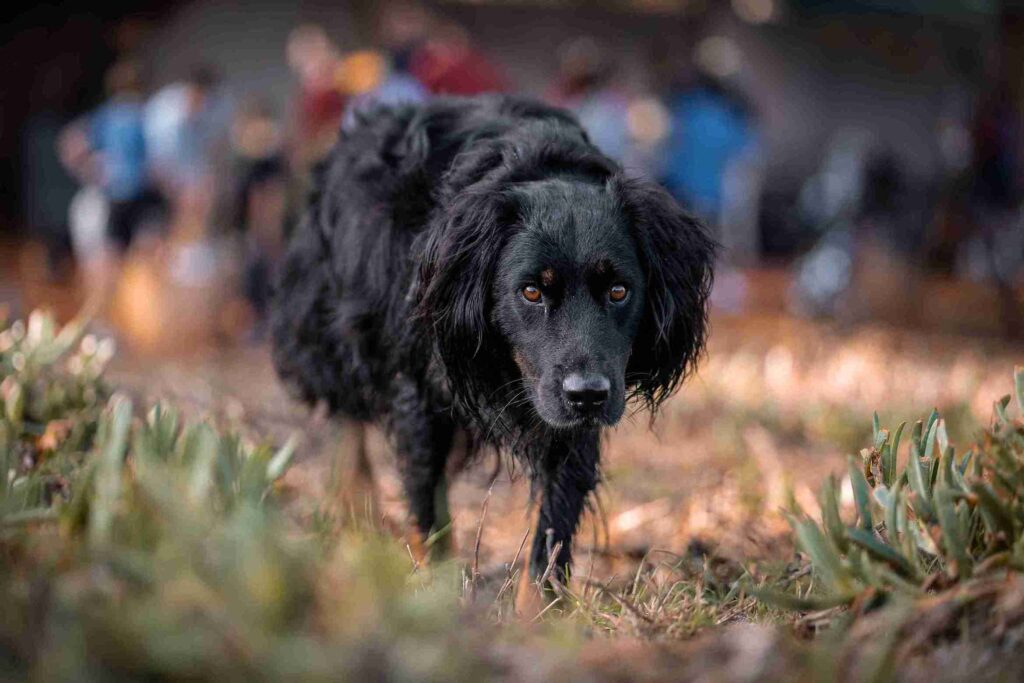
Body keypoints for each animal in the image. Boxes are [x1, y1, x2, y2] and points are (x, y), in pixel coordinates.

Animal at [276, 94, 716, 589]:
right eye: (531, 291)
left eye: (619, 291)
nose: (587, 396)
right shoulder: (419, 393)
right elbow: (427, 507)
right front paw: (436, 588)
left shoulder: (568, 416)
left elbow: (550, 533)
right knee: (350, 424)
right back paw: (356, 510)